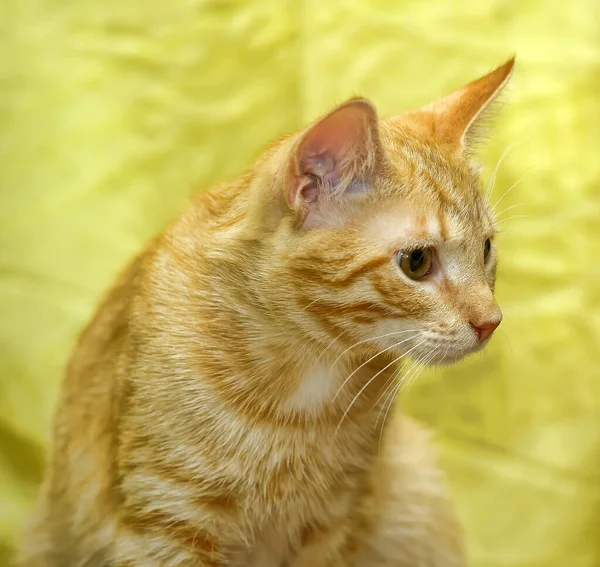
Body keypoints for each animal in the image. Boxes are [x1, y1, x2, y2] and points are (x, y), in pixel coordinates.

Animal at [21, 55, 512, 564]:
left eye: (486, 249)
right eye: (417, 262)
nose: (491, 321)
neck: (303, 391)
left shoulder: (331, 525)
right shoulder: (163, 521)